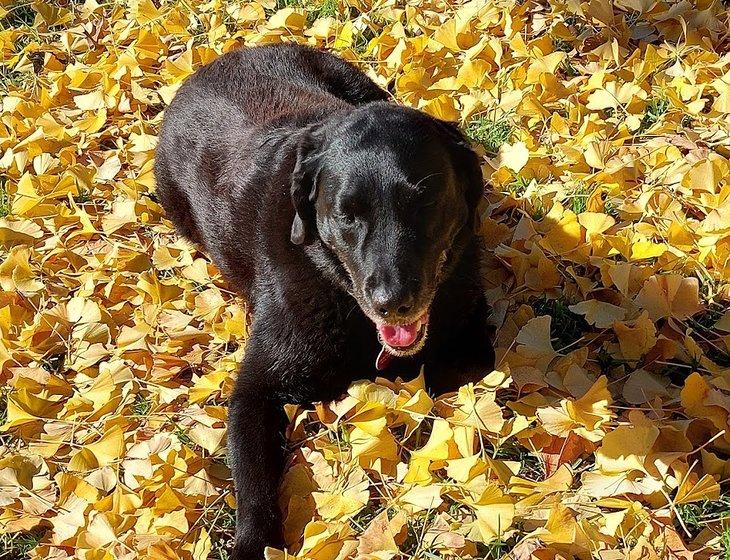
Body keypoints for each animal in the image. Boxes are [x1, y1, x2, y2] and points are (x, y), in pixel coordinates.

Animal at [154, 44, 494, 560]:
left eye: (424, 200)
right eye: (346, 215)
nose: (392, 301)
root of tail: (220, 60)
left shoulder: (473, 340)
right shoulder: (254, 393)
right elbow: (253, 487)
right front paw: (253, 544)